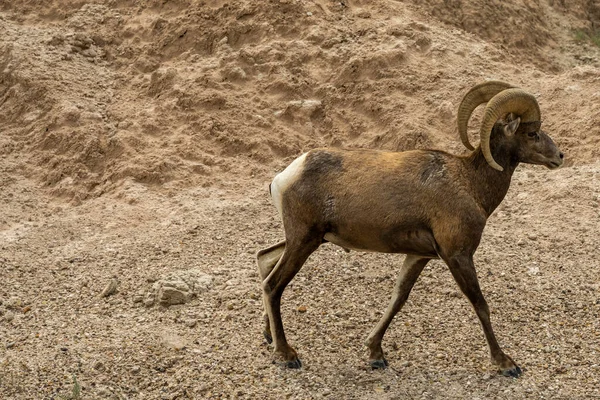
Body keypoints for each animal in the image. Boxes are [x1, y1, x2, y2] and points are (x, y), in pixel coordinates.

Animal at [256, 82, 564, 378]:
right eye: (533, 133)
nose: (559, 157)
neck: (470, 183)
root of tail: (284, 177)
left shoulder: (419, 257)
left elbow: (398, 299)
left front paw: (376, 355)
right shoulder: (458, 256)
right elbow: (480, 305)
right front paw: (506, 364)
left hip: (305, 240)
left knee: (264, 260)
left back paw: (269, 338)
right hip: (303, 240)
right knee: (273, 285)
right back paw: (287, 355)